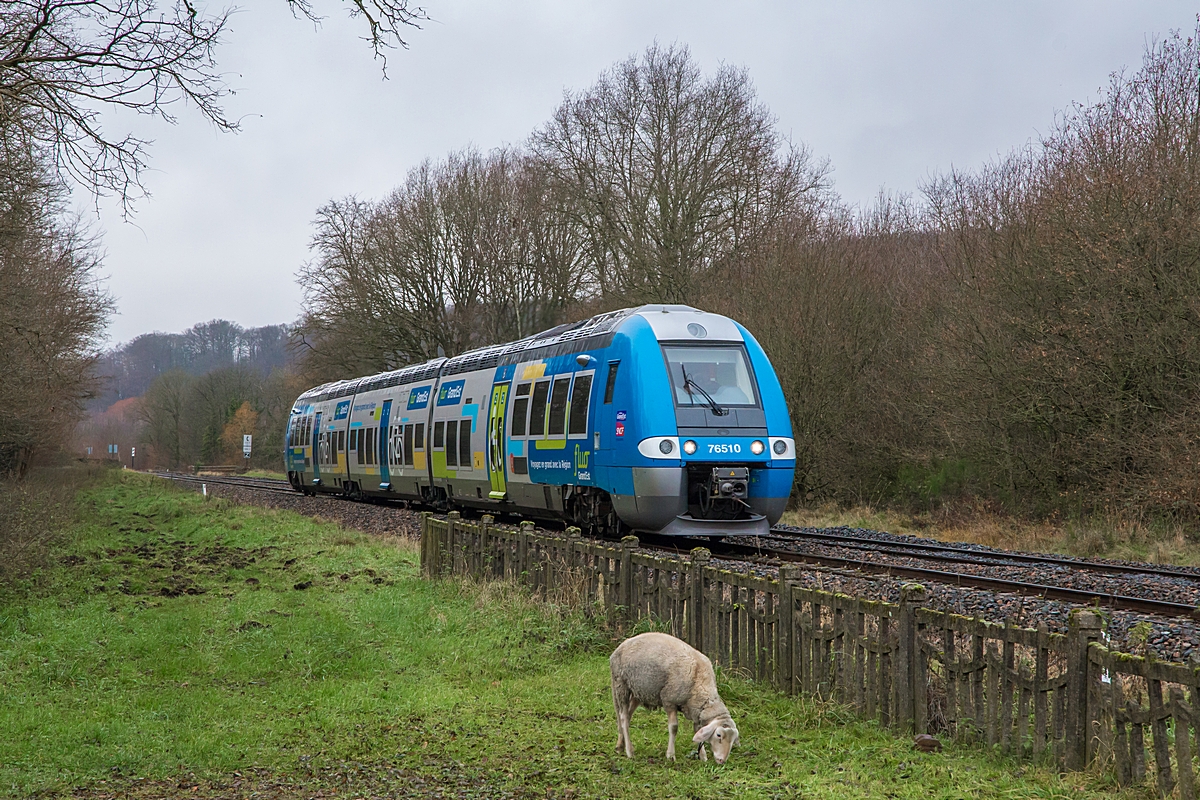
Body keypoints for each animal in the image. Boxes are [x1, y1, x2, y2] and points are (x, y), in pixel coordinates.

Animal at [609, 633, 739, 762]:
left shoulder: (695, 709)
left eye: (733, 739)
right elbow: (674, 727)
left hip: (639, 691)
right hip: (621, 684)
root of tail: (621, 646)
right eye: (719, 735)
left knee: (627, 715)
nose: (722, 761)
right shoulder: (669, 701)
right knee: (624, 717)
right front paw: (671, 755)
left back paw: (620, 746)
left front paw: (702, 756)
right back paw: (629, 751)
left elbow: (697, 729)